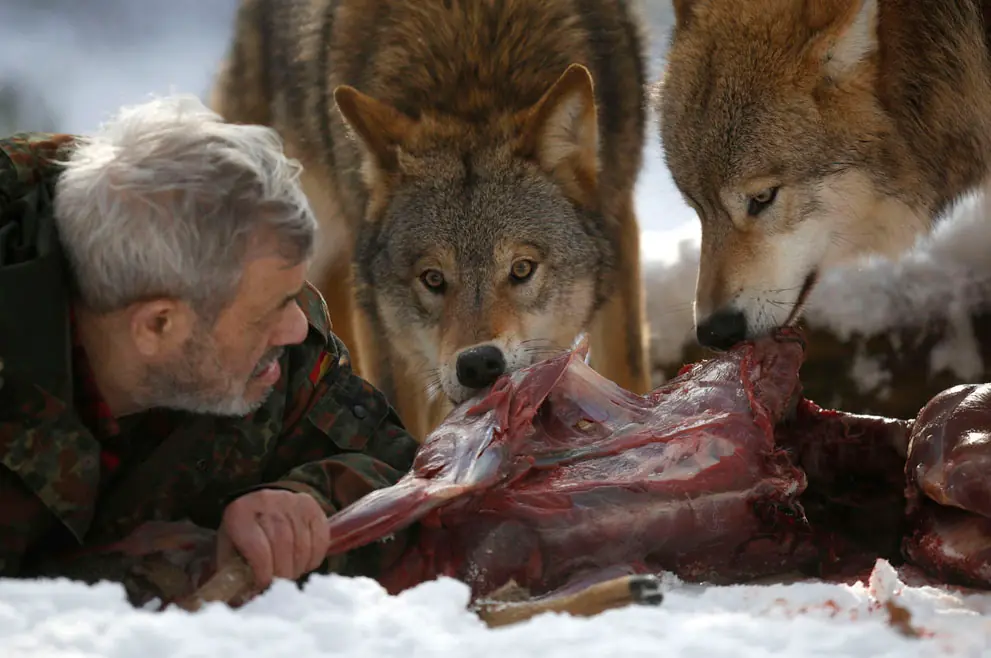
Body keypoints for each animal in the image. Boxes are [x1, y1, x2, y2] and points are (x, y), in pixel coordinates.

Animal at [210, 0, 651, 439]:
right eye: (433, 278)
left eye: (522, 269)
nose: (479, 364)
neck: (475, 73)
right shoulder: (379, 322)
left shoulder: (619, 230)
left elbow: (626, 370)